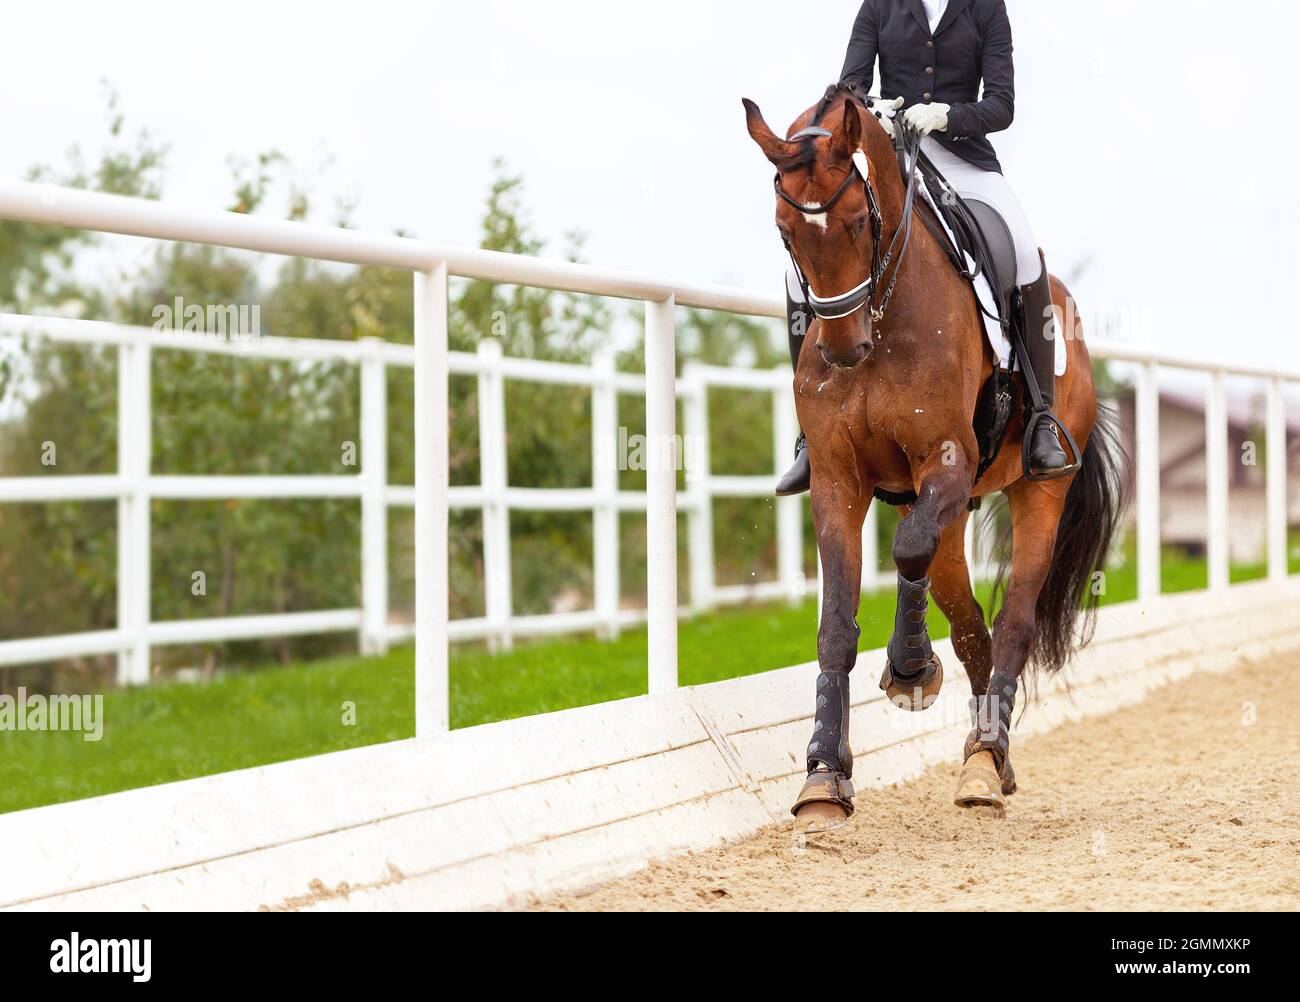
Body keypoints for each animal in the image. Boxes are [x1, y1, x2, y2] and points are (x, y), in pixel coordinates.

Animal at [748, 86, 1133, 826]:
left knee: (1011, 623)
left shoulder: (946, 461)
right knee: (970, 624)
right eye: (784, 232)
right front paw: (824, 777)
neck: (884, 313)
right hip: (951, 513)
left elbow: (906, 552)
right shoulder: (838, 480)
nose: (842, 350)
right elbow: (837, 623)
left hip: (1037, 491)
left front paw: (907, 670)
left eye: (857, 222)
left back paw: (983, 762)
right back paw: (989, 756)